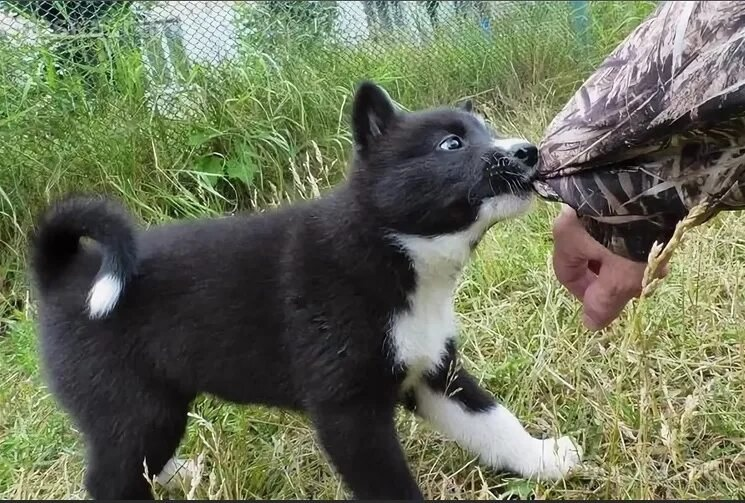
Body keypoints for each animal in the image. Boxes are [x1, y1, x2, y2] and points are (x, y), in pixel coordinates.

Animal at [29, 81, 580, 500]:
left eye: (487, 132)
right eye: (452, 144)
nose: (528, 151)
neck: (390, 251)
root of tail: (64, 272)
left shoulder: (433, 373)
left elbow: (493, 422)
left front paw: (544, 458)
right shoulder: (348, 413)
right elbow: (390, 485)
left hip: (159, 402)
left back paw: (178, 475)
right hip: (133, 405)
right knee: (111, 478)